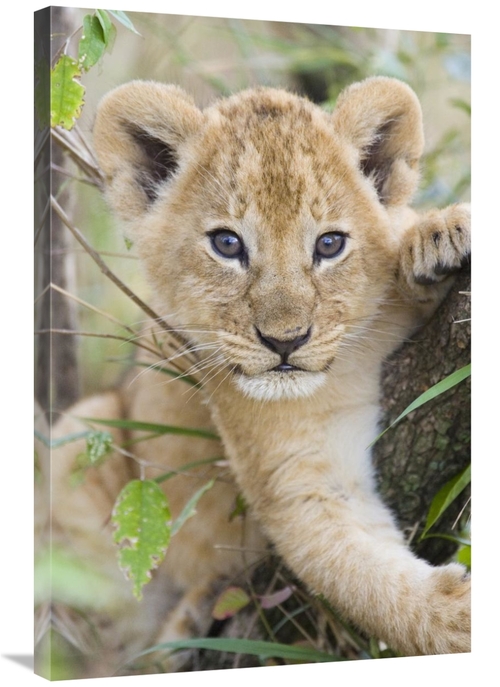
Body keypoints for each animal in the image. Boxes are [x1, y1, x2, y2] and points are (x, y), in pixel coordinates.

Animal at [39, 76, 470, 677]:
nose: (285, 341)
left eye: (330, 244)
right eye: (227, 244)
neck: (352, 361)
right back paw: (184, 625)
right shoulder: (299, 477)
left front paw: (440, 239)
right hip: (82, 434)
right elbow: (378, 589)